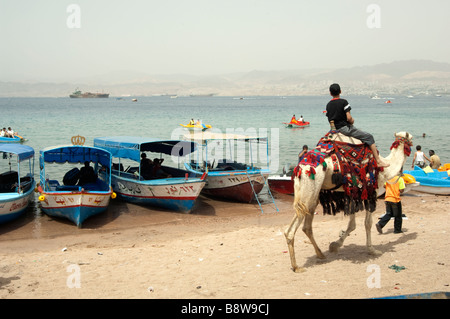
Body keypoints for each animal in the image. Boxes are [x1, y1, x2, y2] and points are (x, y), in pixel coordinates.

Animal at [284, 131, 412, 274]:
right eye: (410, 139)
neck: (385, 168)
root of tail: (300, 168)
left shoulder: (353, 194)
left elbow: (352, 225)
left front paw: (334, 245)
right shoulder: (370, 193)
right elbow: (367, 223)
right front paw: (372, 250)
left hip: (311, 193)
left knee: (306, 226)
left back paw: (320, 254)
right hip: (309, 190)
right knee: (292, 229)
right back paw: (296, 267)